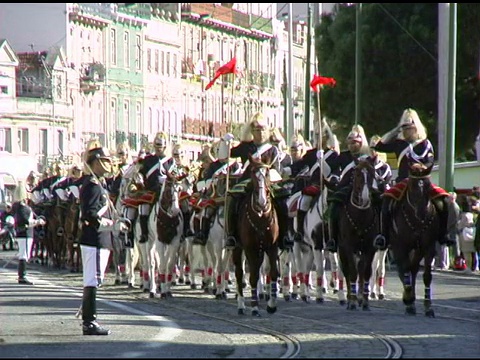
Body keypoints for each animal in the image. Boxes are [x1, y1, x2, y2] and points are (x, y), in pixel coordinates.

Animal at [232, 153, 282, 316]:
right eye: (253, 173)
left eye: (267, 174)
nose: (261, 201)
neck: (260, 216)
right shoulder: (249, 248)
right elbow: (252, 276)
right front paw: (254, 307)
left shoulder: (272, 247)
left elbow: (273, 273)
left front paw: (272, 305)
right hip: (237, 248)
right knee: (239, 273)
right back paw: (241, 305)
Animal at [336, 156, 380, 310]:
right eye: (358, 175)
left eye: (372, 174)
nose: (366, 198)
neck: (360, 216)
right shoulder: (348, 246)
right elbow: (352, 272)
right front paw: (352, 301)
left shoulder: (370, 247)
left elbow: (366, 272)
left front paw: (365, 300)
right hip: (342, 249)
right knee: (347, 270)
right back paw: (351, 298)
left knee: (361, 268)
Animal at [388, 162, 440, 316]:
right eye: (412, 186)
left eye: (428, 186)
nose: (422, 213)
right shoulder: (400, 246)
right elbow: (404, 270)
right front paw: (409, 299)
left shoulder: (428, 247)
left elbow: (427, 275)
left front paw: (428, 306)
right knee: (403, 270)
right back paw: (408, 298)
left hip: (417, 250)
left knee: (413, 268)